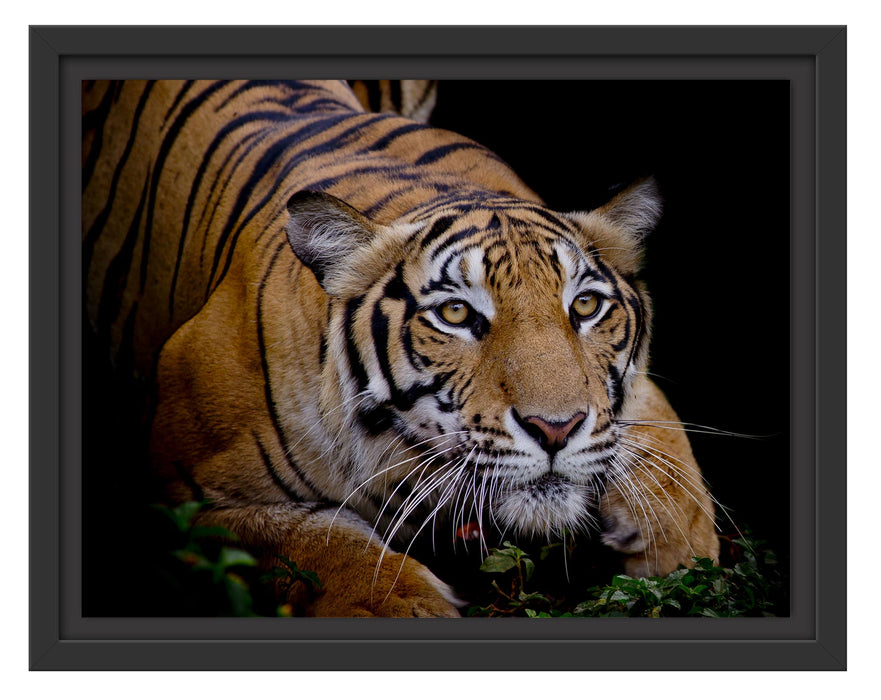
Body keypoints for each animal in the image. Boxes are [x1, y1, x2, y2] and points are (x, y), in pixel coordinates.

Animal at [83, 79, 720, 617]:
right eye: (456, 314)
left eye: (585, 306)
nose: (556, 428)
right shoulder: (190, 501)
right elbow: (323, 547)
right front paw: (403, 605)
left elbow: (663, 441)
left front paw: (682, 551)